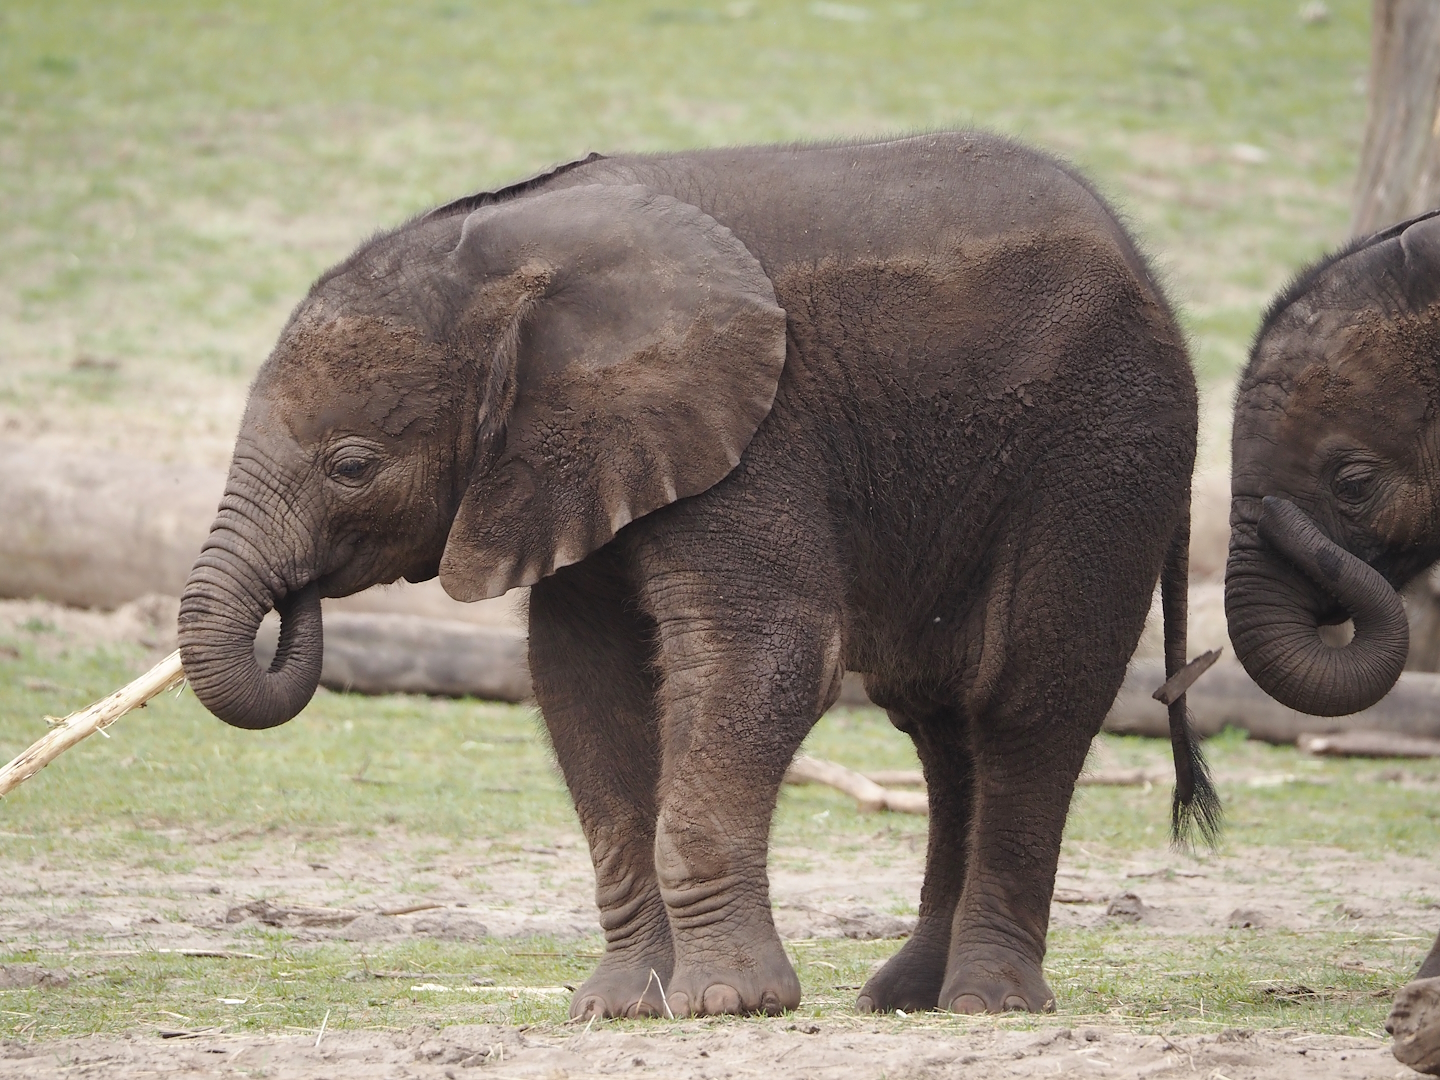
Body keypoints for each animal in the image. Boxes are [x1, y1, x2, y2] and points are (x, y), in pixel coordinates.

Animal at [177, 132, 1215, 1020]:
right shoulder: (579, 456)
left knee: (1024, 696)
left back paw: (985, 1003)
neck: (517, 262)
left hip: (1105, 446)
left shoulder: (756, 428)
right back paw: (904, 995)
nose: (297, 597)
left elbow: (765, 651)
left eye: (352, 467)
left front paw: (730, 1002)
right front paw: (618, 1007)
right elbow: (582, 678)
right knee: (938, 717)